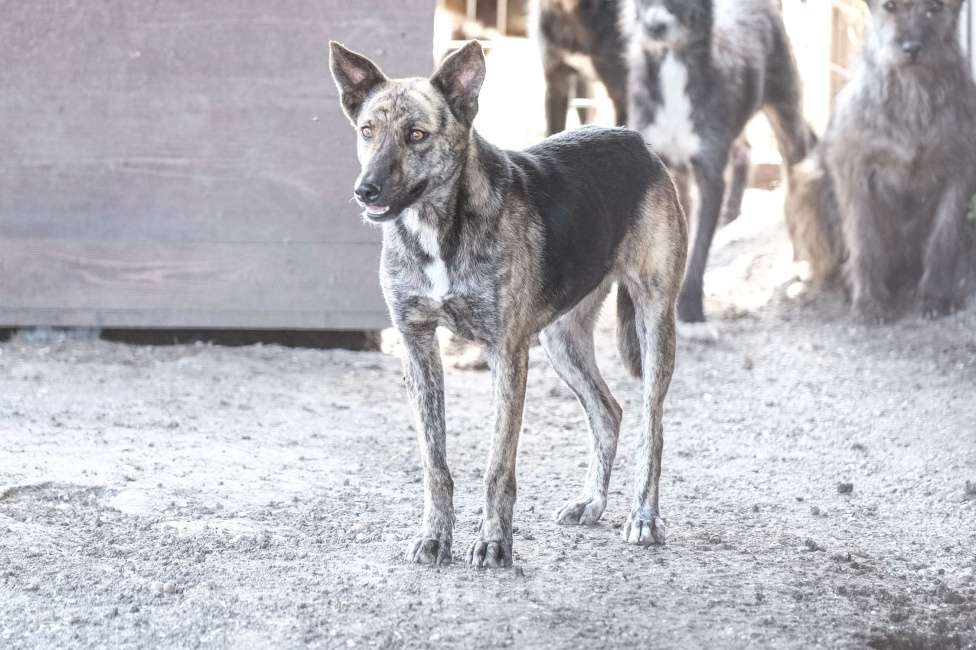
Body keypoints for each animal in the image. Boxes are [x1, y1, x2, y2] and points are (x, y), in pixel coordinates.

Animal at [328, 41, 688, 568]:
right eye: (367, 131)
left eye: (417, 135)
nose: (365, 190)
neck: (441, 227)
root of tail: (634, 140)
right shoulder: (417, 346)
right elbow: (435, 463)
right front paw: (435, 537)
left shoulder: (507, 353)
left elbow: (498, 465)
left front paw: (495, 543)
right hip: (562, 340)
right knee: (608, 412)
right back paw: (592, 503)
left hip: (654, 320)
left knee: (652, 426)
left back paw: (643, 516)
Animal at [788, 0, 976, 318]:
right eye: (890, 6)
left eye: (935, 7)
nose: (912, 48)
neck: (913, 94)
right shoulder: (854, 171)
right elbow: (864, 240)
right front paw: (869, 300)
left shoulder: (959, 171)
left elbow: (943, 237)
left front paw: (934, 295)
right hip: (808, 183)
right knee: (827, 264)